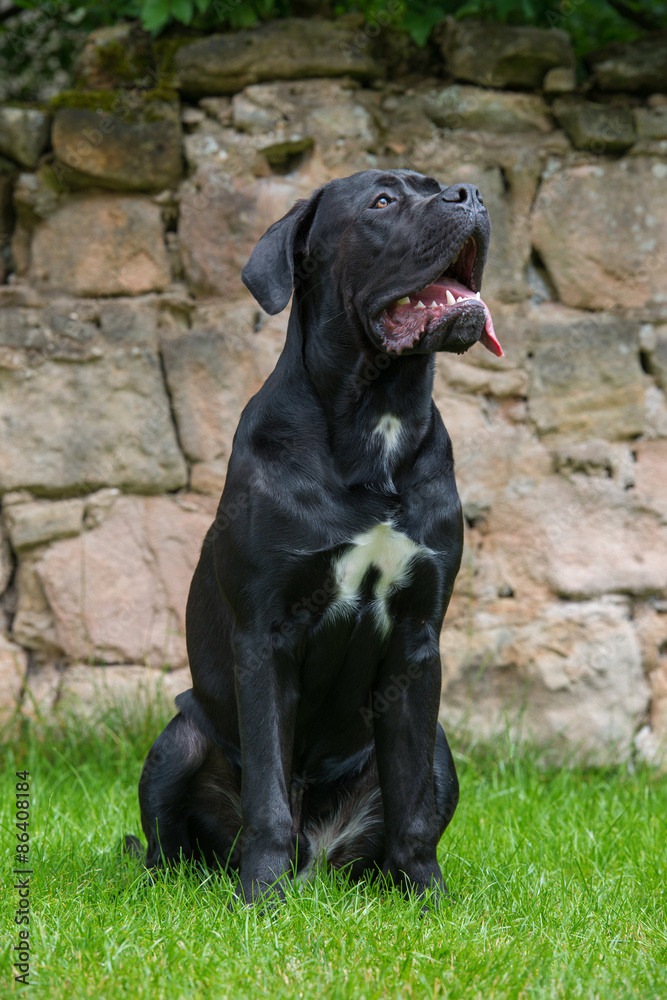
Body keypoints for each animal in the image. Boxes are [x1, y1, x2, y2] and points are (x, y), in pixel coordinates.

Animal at [136, 170, 500, 908]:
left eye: (432, 184)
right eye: (382, 201)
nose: (470, 194)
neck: (376, 415)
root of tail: (319, 858)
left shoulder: (418, 640)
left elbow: (413, 805)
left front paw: (428, 898)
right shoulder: (265, 634)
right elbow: (268, 791)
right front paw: (259, 899)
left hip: (441, 747)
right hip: (178, 738)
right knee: (168, 843)